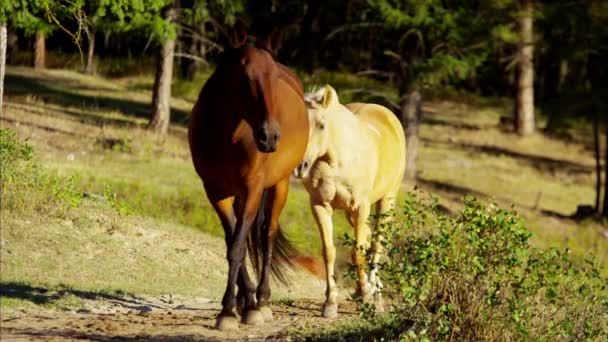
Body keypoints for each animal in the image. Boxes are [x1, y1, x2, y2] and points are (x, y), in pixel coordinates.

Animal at [188, 36, 308, 332]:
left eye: (274, 79)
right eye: (245, 78)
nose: (270, 136)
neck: (227, 137)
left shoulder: (253, 189)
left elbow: (239, 246)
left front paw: (233, 310)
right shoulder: (216, 193)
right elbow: (234, 245)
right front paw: (235, 305)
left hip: (279, 186)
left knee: (267, 235)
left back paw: (262, 301)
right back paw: (250, 299)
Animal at [294, 85, 406, 318]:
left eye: (321, 125)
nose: (301, 167)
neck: (335, 161)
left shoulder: (360, 207)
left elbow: (358, 251)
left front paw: (365, 293)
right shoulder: (320, 206)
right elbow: (329, 252)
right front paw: (330, 303)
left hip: (387, 200)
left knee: (377, 243)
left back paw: (374, 294)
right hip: (350, 213)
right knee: (369, 238)